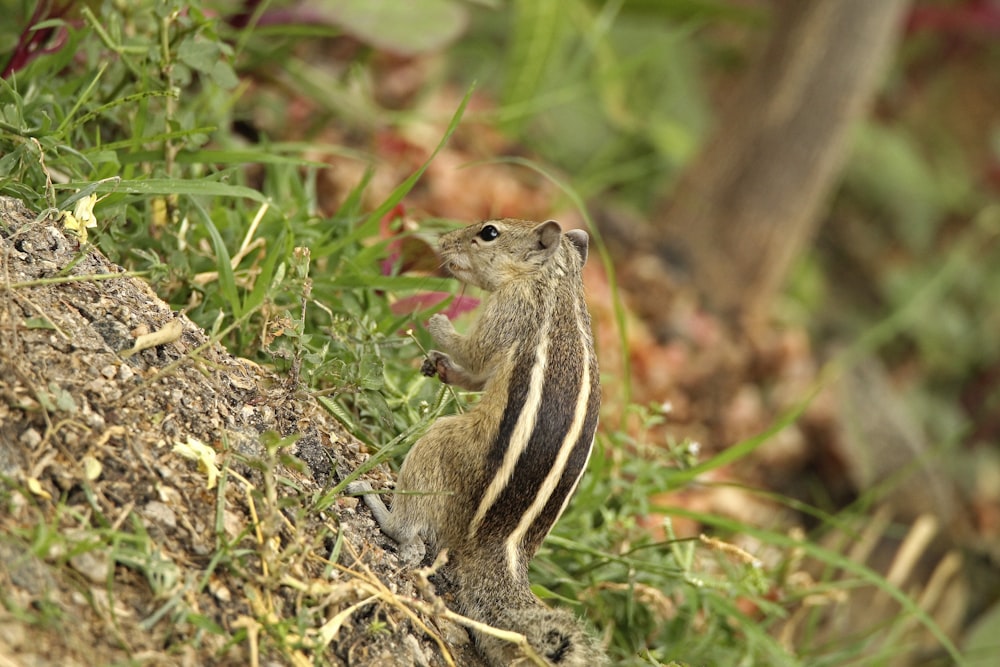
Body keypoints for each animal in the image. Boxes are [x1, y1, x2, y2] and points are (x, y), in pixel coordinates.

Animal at [348, 218, 604, 664]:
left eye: (489, 232)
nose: (443, 242)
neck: (558, 282)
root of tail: (501, 543)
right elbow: (477, 375)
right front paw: (438, 365)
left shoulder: (510, 312)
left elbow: (478, 354)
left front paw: (438, 325)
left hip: (444, 444)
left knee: (411, 523)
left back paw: (379, 506)